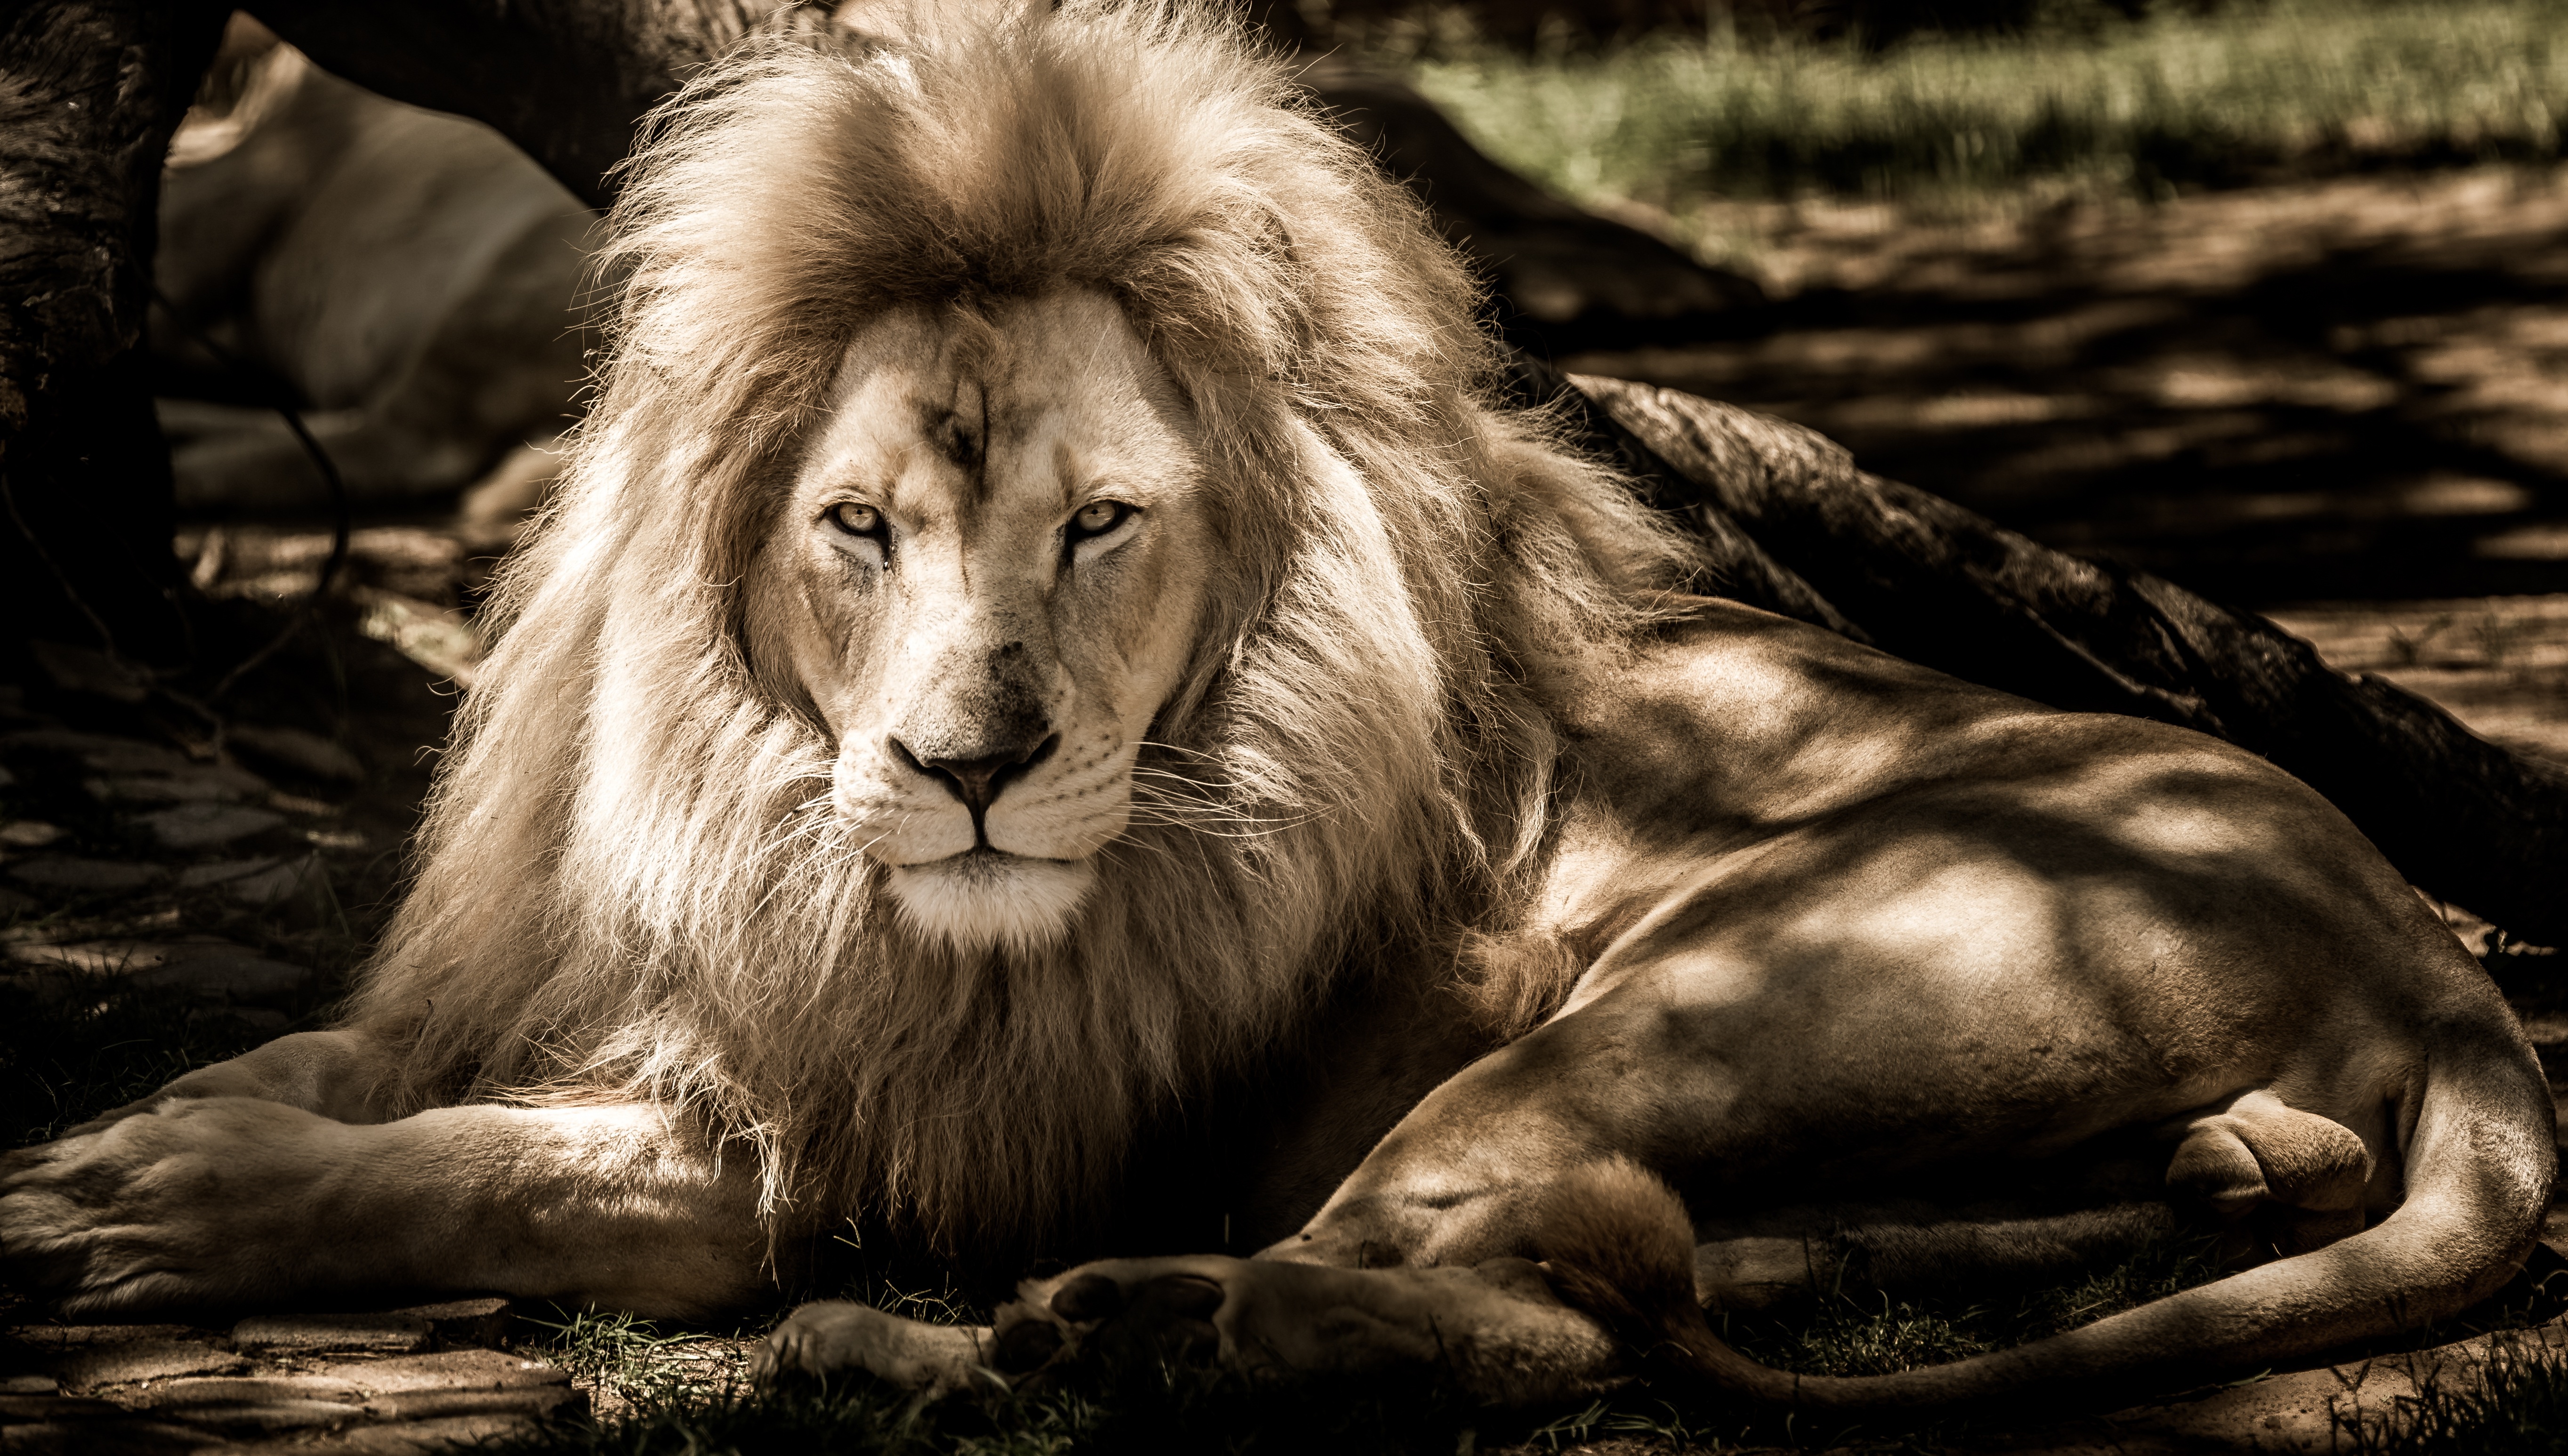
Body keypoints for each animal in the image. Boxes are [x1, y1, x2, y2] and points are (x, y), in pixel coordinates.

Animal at [3, 0, 2552, 1418]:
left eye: (1103, 525)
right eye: (859, 527)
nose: (971, 771)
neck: (753, 797)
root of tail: (2422, 951)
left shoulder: (906, 1134)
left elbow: (521, 1174)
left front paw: (148, 1202)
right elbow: (349, 1064)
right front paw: (165, 1122)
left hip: (1686, 1001)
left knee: (1498, 1308)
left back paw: (1014, 1344)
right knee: (1646, 1273)